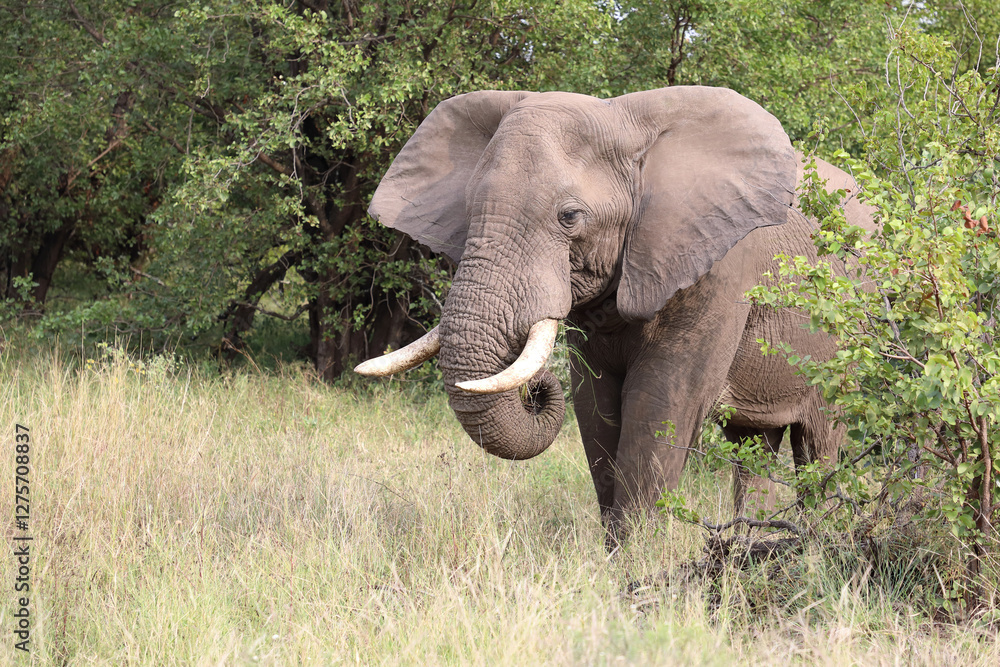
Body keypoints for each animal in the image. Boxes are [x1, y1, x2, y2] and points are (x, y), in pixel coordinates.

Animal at [355, 86, 874, 538]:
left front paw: (638, 566)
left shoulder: (722, 269)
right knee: (753, 444)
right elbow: (595, 403)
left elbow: (662, 401)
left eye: (569, 217)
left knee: (820, 443)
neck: (627, 124)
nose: (537, 390)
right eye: (467, 210)